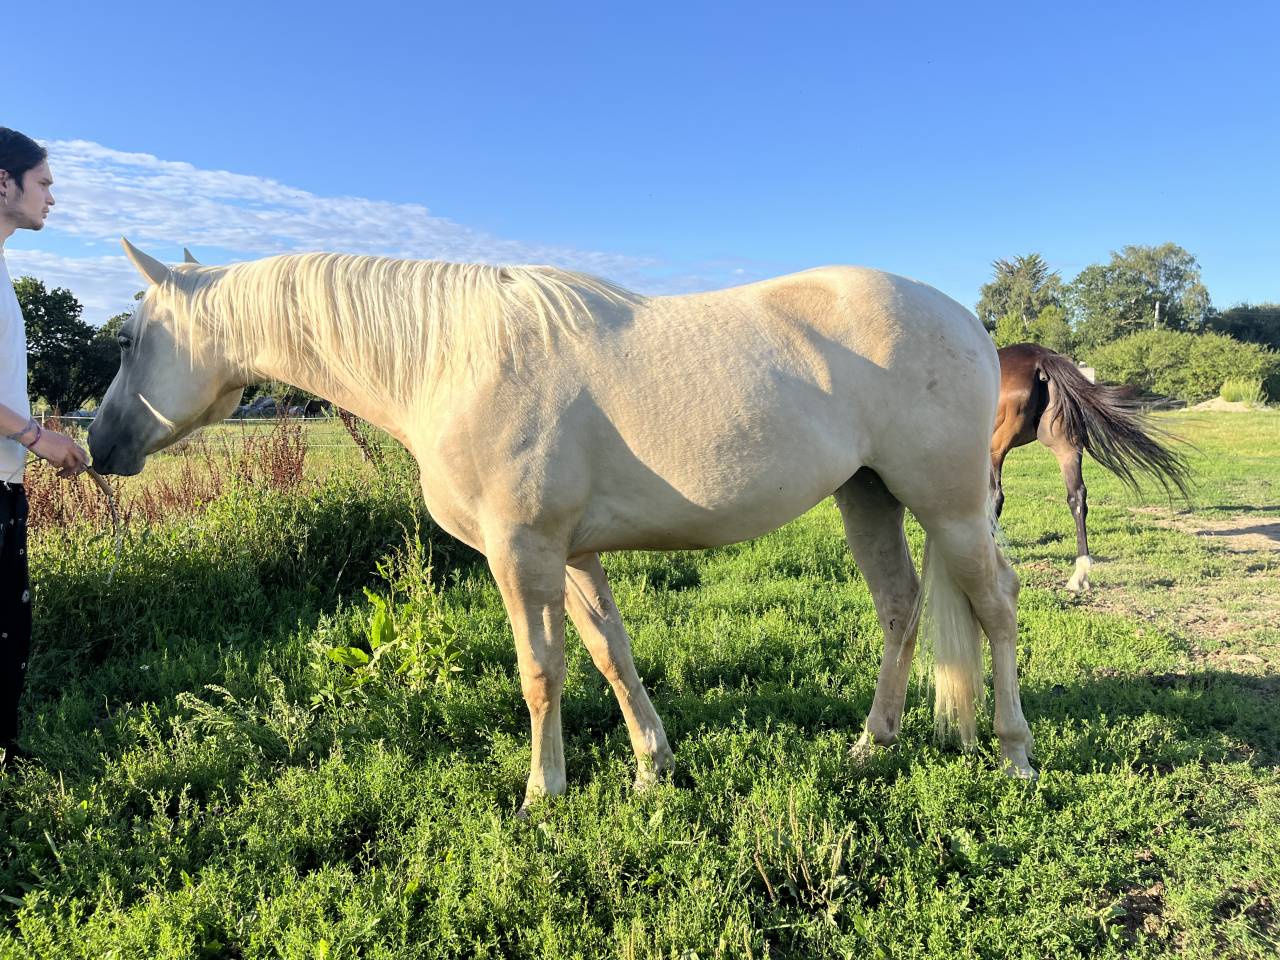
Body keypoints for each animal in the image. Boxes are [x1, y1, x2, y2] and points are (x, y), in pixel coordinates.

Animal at [90, 239, 1037, 814]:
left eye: (130, 339)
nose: (99, 446)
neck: (449, 358)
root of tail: (969, 322)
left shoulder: (522, 553)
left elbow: (540, 671)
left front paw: (542, 794)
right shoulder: (574, 555)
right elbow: (610, 654)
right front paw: (653, 768)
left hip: (949, 505)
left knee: (996, 606)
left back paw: (1013, 751)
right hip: (868, 496)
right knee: (900, 606)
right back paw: (871, 746)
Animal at [992, 343, 1192, 592]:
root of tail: (1041, 357)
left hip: (997, 448)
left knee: (996, 496)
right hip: (1065, 446)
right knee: (1076, 497)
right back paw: (1080, 574)